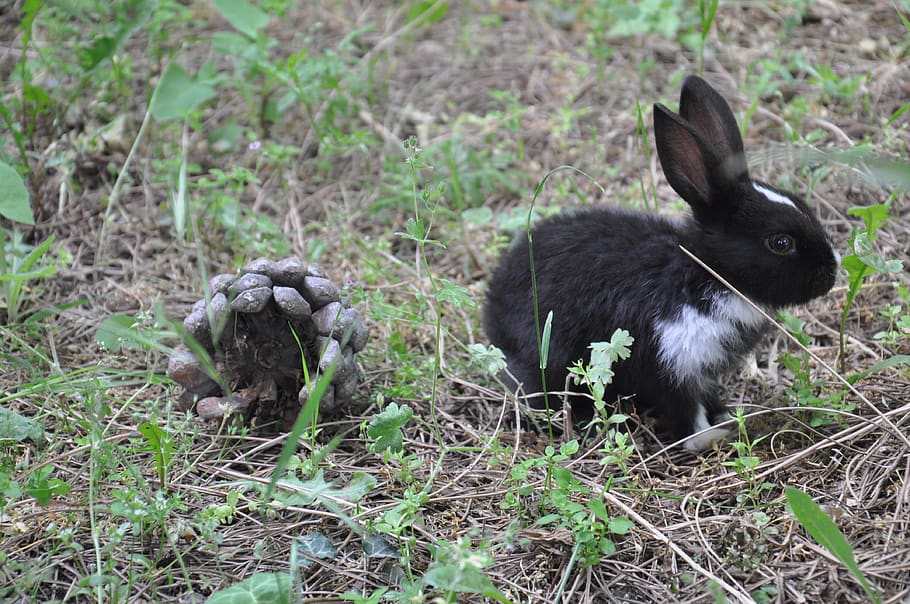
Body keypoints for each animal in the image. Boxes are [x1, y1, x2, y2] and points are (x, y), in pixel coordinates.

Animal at [483, 75, 839, 452]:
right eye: (781, 243)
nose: (832, 271)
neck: (705, 275)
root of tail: (492, 308)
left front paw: (725, 415)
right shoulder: (671, 361)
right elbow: (685, 412)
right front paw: (710, 437)